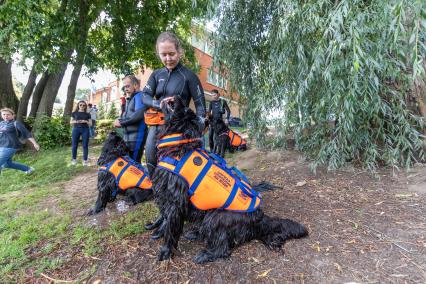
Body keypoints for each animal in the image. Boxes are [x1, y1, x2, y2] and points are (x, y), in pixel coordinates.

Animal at [151, 97, 308, 264]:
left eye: (185, 109)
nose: (177, 97)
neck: (178, 145)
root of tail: (260, 219)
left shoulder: (175, 201)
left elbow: (170, 228)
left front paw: (166, 252)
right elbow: (165, 221)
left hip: (215, 216)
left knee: (223, 248)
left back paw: (206, 254)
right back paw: (195, 233)